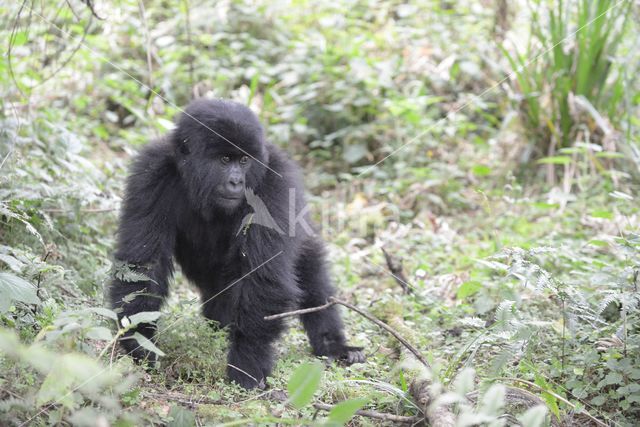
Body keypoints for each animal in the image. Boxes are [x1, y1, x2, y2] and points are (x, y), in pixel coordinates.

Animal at [110, 98, 364, 390]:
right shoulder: (150, 173)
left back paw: (333, 345)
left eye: (243, 161)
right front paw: (139, 344)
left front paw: (248, 363)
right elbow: (142, 265)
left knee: (310, 269)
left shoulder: (276, 182)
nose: (236, 181)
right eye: (224, 159)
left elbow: (265, 278)